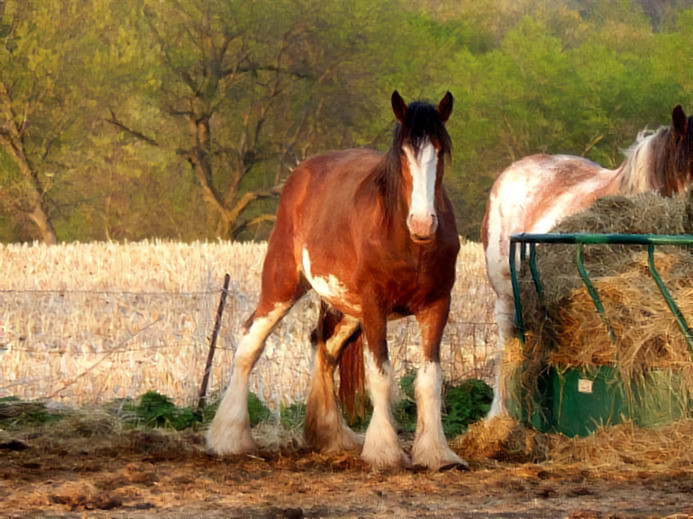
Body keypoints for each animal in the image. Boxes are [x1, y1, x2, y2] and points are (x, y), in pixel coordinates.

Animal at [208, 92, 462, 472]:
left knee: (325, 349)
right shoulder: (375, 306)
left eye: (440, 150)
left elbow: (430, 380)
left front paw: (436, 454)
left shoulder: (436, 306)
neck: (406, 241)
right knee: (250, 342)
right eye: (403, 153)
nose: (422, 223)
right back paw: (229, 437)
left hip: (348, 309)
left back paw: (331, 434)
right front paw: (385, 452)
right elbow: (381, 376)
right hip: (283, 285)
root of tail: (301, 172)